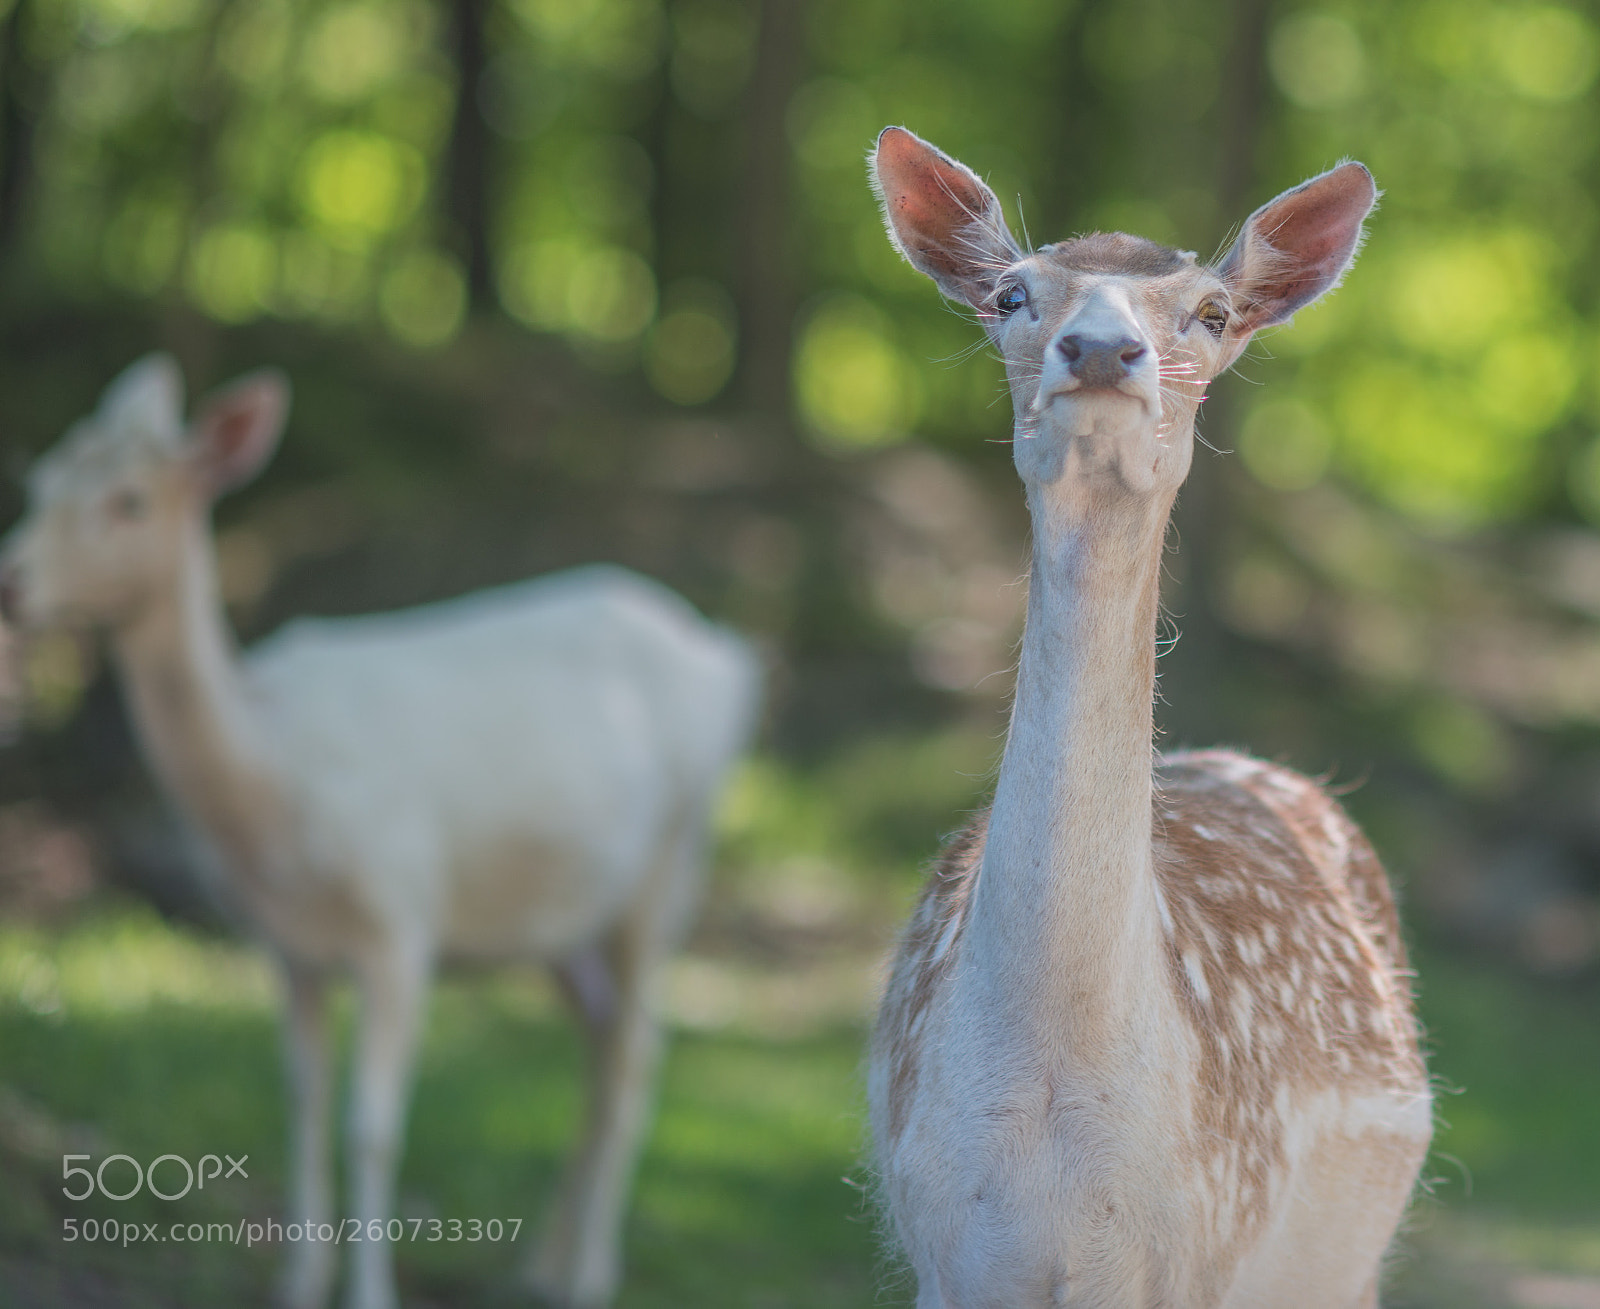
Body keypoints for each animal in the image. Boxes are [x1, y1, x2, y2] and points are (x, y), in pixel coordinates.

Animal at [0, 354, 763, 1309]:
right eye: (37, 481)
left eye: (129, 501)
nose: (10, 582)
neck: (273, 789)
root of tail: (730, 658)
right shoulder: (285, 945)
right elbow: (301, 1102)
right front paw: (295, 1285)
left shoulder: (402, 920)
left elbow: (371, 1124)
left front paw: (368, 1294)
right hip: (562, 915)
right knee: (599, 1042)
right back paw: (542, 1262)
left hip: (671, 860)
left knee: (634, 1052)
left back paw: (587, 1274)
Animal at [865, 128, 1431, 1308]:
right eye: (1011, 292)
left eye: (1210, 311)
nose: (1098, 350)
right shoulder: (944, 1249)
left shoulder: (1192, 1251)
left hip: (1342, 1265)